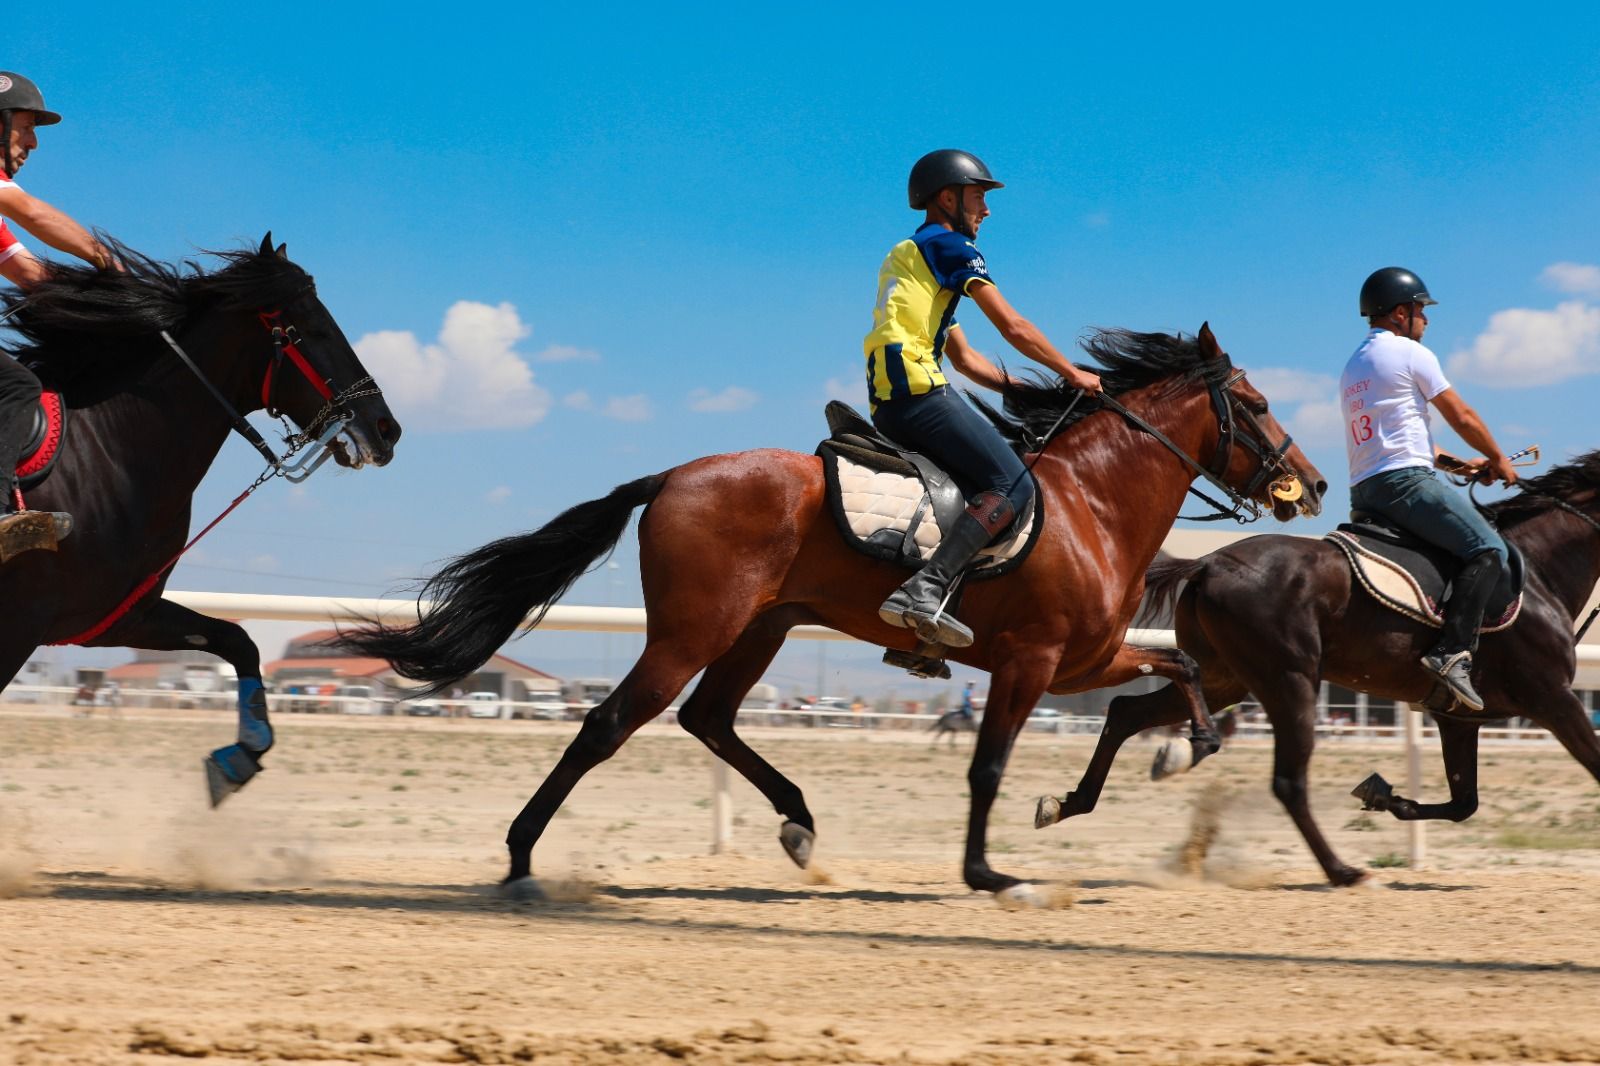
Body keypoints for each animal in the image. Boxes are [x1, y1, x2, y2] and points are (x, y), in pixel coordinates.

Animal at [1, 232, 400, 797]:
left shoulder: (120, 616)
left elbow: (239, 640)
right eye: (315, 328)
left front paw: (242, 752)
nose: (387, 428)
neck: (105, 453)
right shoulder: (20, 624)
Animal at [334, 323, 1324, 896]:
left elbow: (1176, 673)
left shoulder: (1086, 661)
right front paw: (986, 872)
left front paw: (1168, 758)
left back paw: (800, 826)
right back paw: (521, 858)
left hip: (759, 629)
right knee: (610, 724)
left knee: (709, 719)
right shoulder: (1031, 663)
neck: (1094, 505)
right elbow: (988, 769)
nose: (1309, 485)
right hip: (694, 630)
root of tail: (672, 476)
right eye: (1259, 402)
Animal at [1030, 451, 1600, 883]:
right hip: (1290, 682)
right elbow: (1590, 767)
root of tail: (1209, 563)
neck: (1539, 571)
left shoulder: (1458, 718)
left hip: (1224, 678)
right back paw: (1341, 870)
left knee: (1126, 711)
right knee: (1288, 781)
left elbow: (1465, 801)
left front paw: (1384, 795)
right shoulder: (1553, 699)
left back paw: (1078, 798)